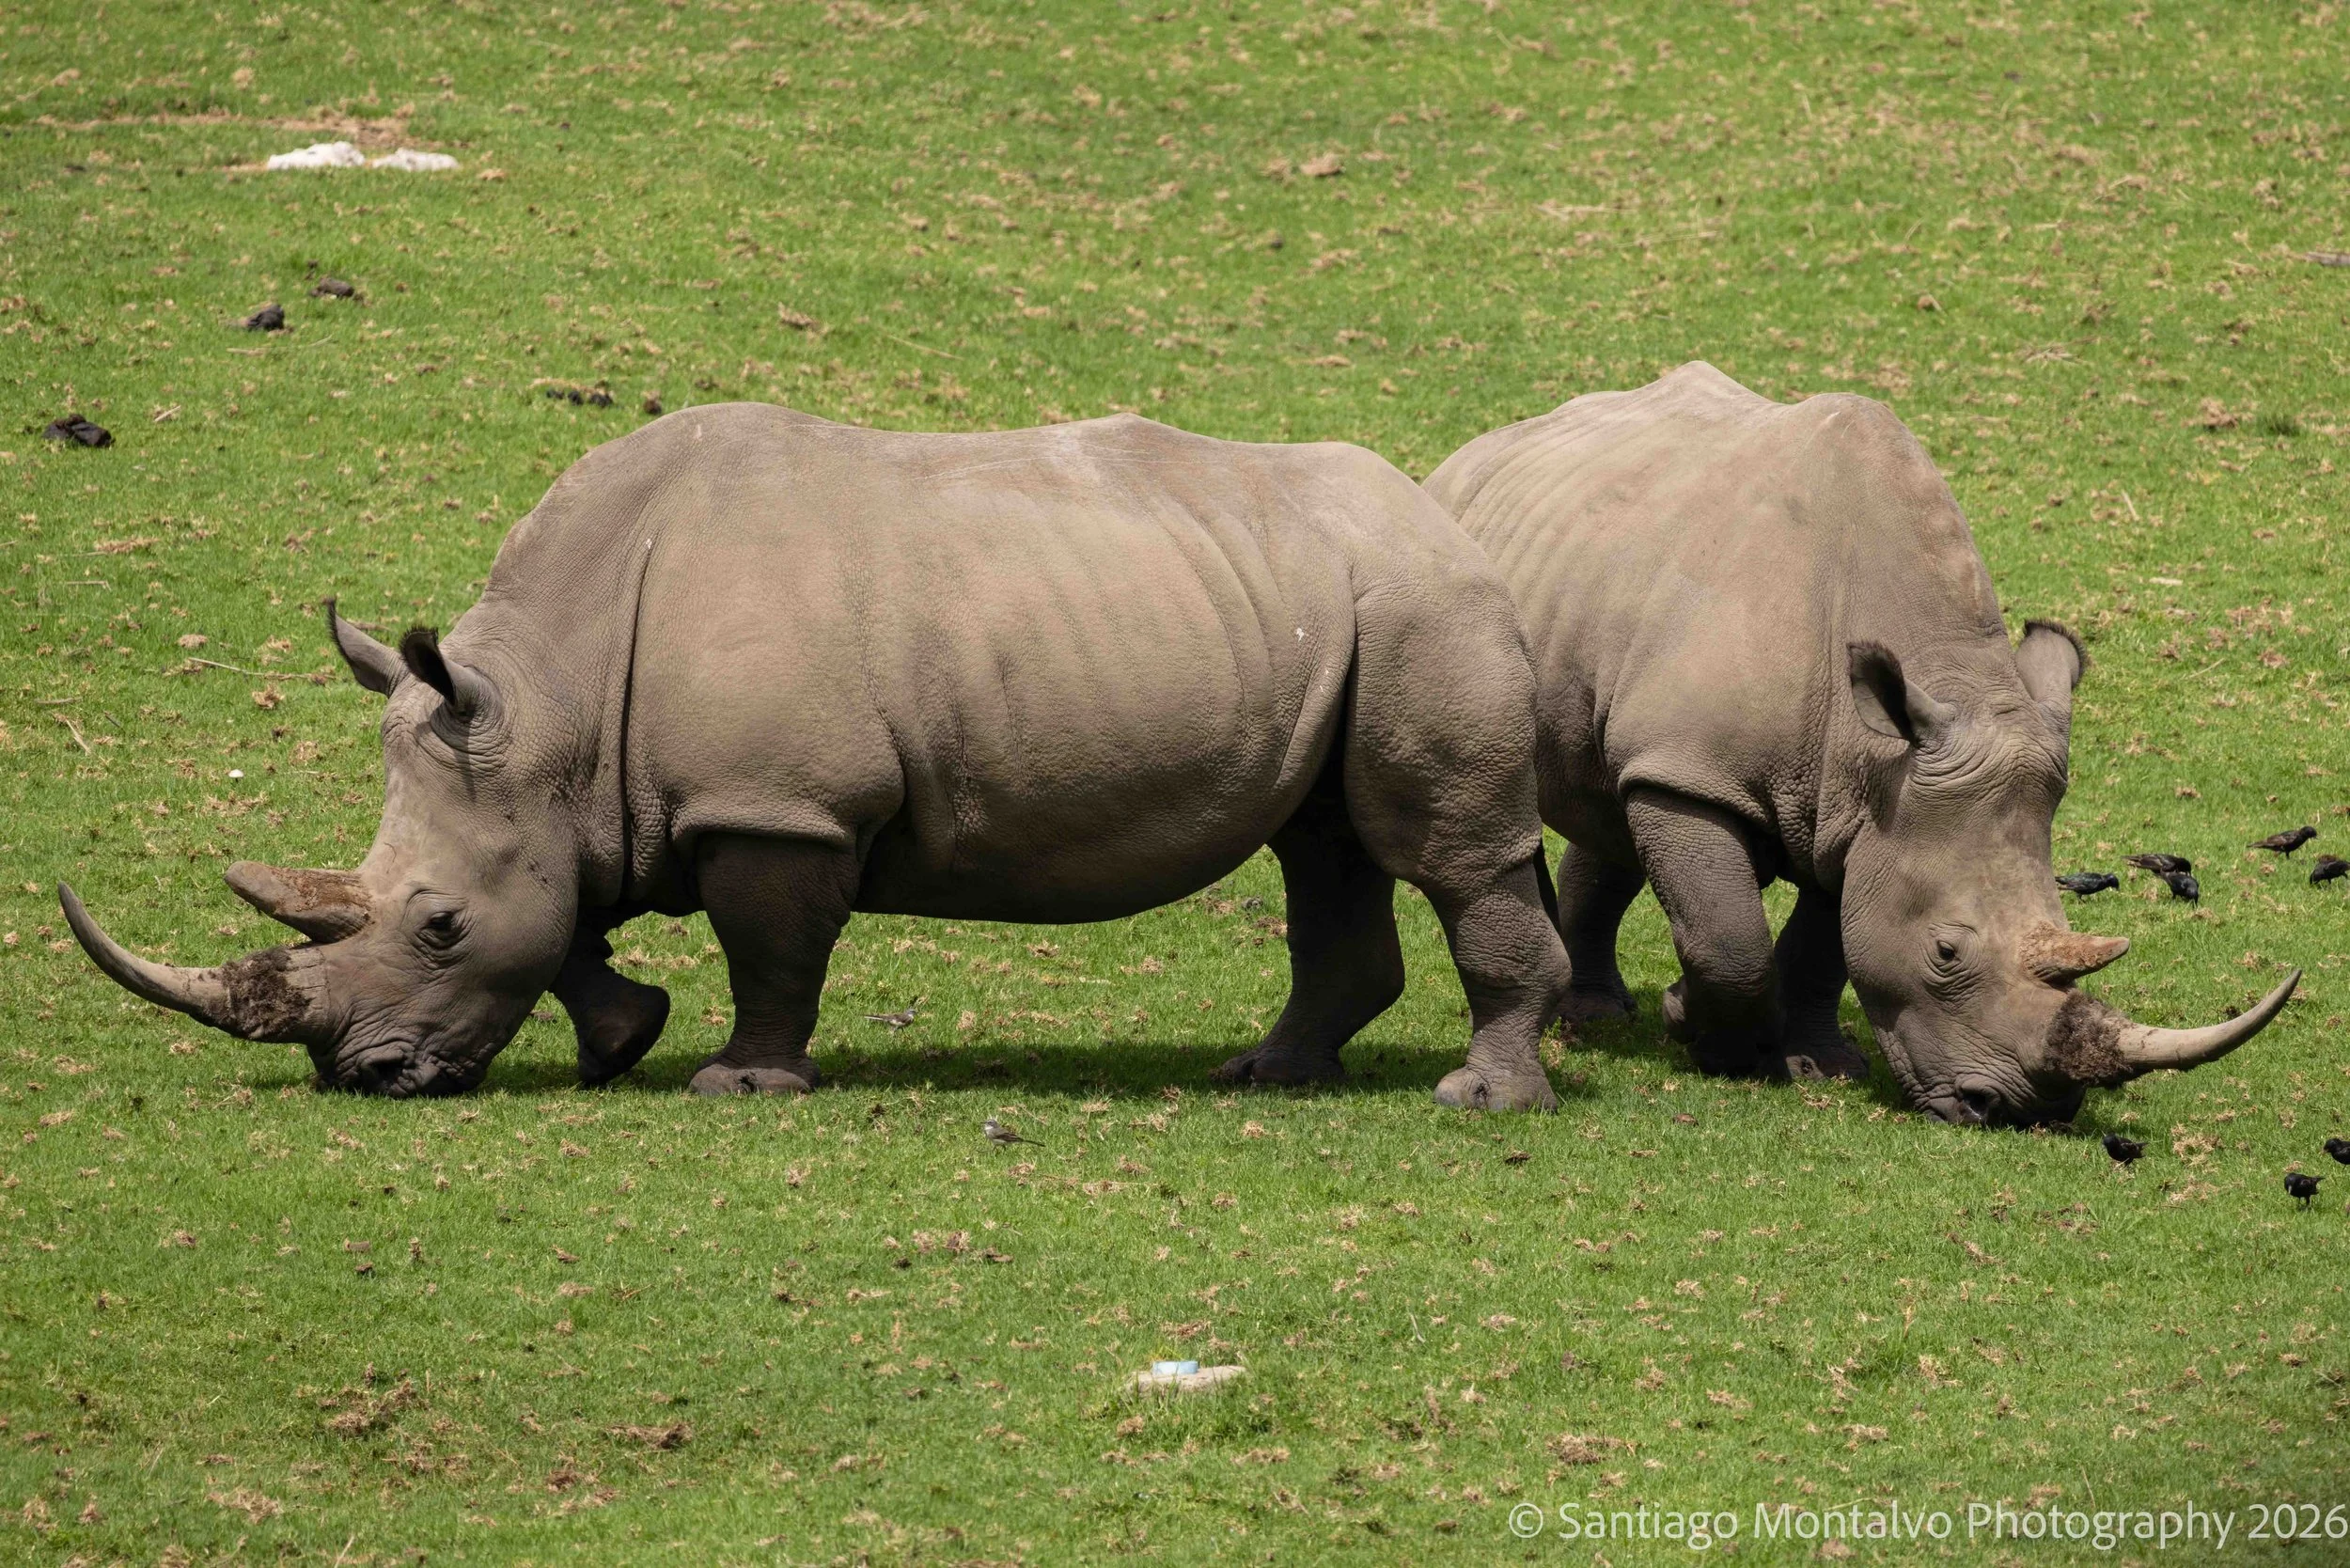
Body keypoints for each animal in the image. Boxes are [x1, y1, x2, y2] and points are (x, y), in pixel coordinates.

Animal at [63, 406, 1572, 1110]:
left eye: (436, 926)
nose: (363, 1077)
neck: (552, 702)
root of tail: (1443, 511)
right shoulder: (579, 796)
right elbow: (569, 913)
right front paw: (622, 1039)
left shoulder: (777, 807)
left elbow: (770, 950)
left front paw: (738, 1085)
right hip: (1332, 606)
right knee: (1325, 842)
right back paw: (1272, 1075)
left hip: (1420, 604)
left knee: (1437, 848)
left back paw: (1477, 1099)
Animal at [1425, 363, 2298, 1126]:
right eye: (1946, 952)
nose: (2018, 1111)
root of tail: (1479, 449)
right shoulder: (1699, 774)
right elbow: (1729, 936)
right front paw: (1705, 1037)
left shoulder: (1866, 804)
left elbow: (1831, 941)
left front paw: (1821, 1065)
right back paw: (1596, 1027)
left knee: (1612, 794)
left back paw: (1601, 1015)